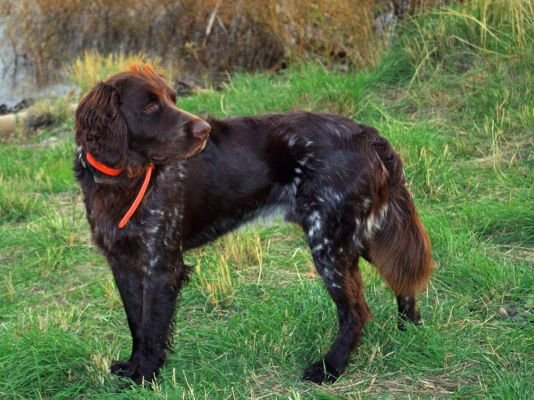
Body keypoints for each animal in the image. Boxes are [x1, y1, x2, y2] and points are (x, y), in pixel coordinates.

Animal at [74, 64, 432, 385]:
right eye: (150, 105)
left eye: (173, 99)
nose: (204, 131)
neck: (124, 179)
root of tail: (367, 134)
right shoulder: (123, 263)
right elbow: (136, 322)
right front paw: (132, 367)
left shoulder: (162, 265)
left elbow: (151, 328)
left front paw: (144, 376)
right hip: (360, 233)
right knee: (402, 280)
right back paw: (410, 331)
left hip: (329, 243)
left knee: (356, 311)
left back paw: (330, 368)